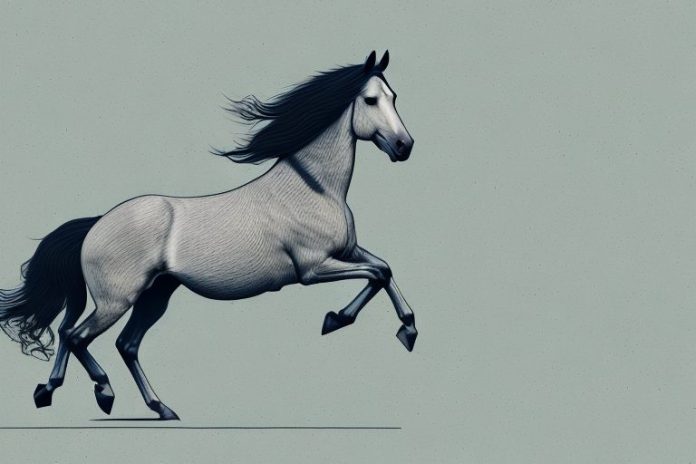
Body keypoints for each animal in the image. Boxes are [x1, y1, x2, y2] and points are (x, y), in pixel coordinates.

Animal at [0, 50, 417, 420]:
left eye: (394, 96)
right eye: (371, 99)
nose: (404, 146)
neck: (313, 189)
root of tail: (97, 224)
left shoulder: (347, 252)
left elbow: (385, 269)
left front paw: (402, 328)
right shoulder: (313, 269)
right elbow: (377, 273)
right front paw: (341, 320)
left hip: (155, 295)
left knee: (117, 342)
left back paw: (139, 405)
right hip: (116, 301)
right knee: (77, 336)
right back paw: (104, 393)